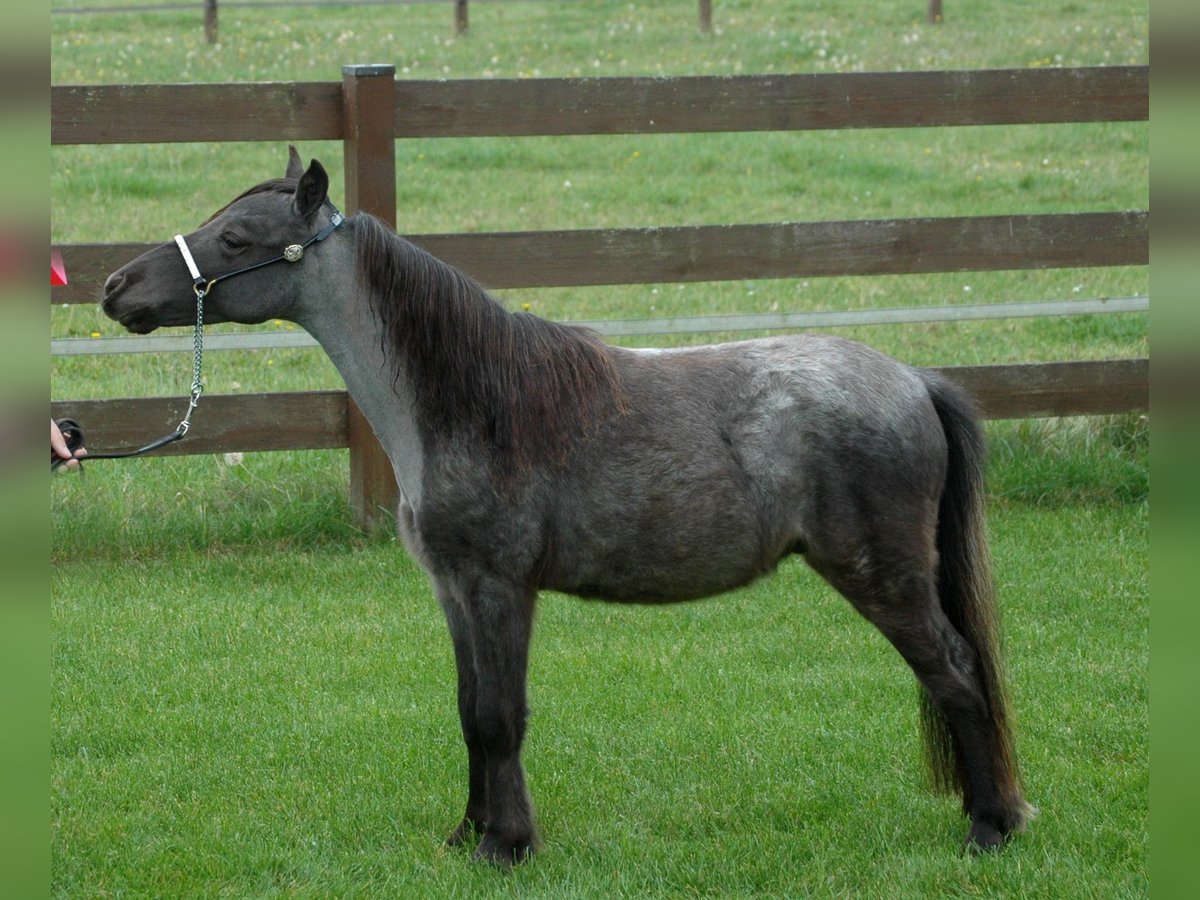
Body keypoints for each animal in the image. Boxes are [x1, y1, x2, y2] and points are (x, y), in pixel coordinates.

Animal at [100, 148, 1032, 868]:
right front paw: (468, 833)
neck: (470, 401)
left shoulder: (499, 587)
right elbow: (471, 714)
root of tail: (915, 380)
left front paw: (506, 844)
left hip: (885, 576)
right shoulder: (453, 591)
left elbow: (500, 716)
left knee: (956, 672)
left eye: (235, 237)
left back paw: (989, 829)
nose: (115, 288)